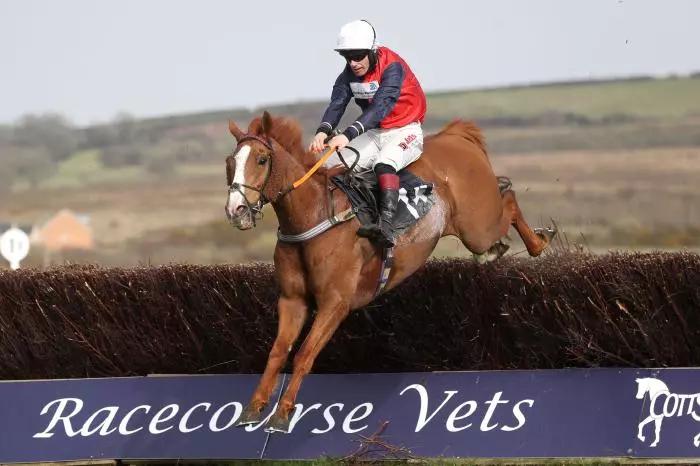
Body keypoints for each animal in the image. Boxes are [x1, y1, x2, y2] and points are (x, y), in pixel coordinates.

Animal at [223, 111, 552, 432]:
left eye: (261, 160)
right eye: (230, 163)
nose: (235, 210)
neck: (313, 217)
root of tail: (455, 136)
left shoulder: (335, 302)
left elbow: (305, 353)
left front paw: (282, 414)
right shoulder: (292, 300)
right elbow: (278, 352)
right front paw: (253, 408)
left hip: (477, 226)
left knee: (508, 201)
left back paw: (539, 240)